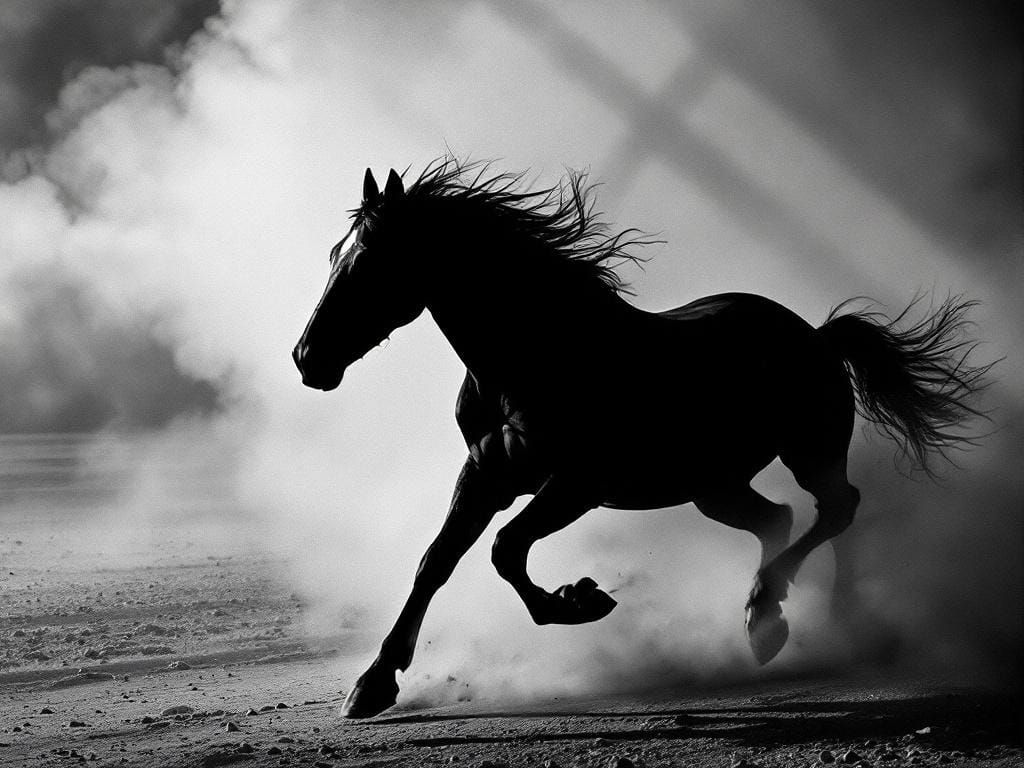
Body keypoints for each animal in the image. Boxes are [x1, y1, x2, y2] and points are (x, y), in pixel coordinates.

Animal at [292, 158, 990, 719]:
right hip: (712, 487)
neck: (533, 356)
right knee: (783, 518)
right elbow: (437, 562)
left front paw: (580, 600)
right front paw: (373, 685)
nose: (306, 360)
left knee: (837, 508)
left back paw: (808, 619)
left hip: (805, 453)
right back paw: (772, 616)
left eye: (368, 262)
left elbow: (504, 550)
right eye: (331, 255)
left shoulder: (577, 483)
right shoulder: (487, 476)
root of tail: (816, 335)